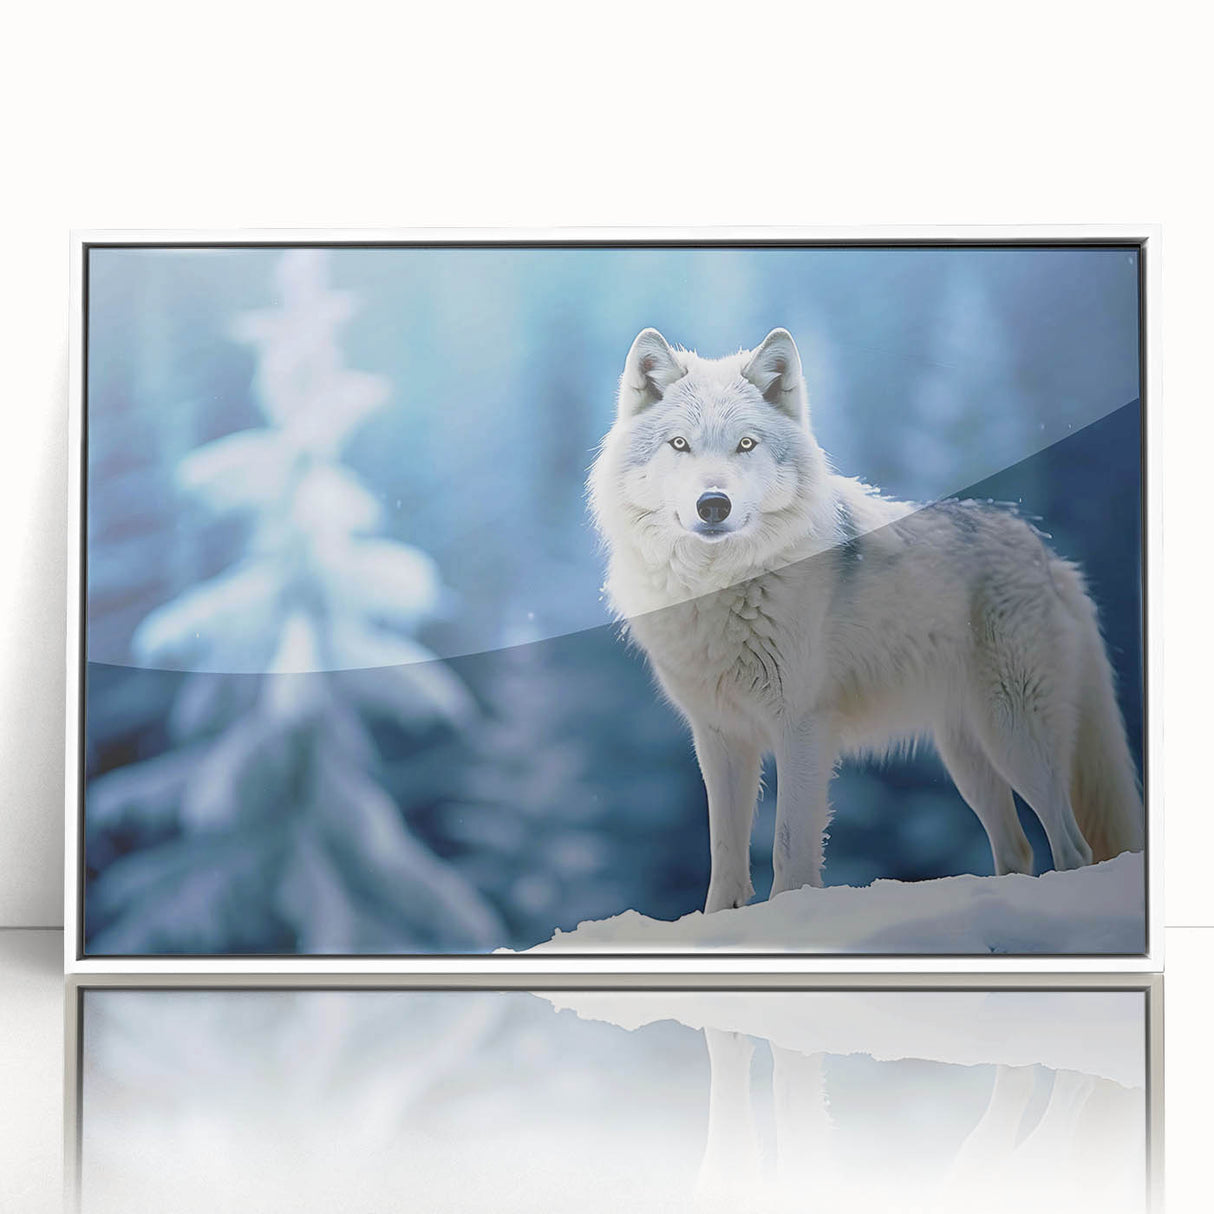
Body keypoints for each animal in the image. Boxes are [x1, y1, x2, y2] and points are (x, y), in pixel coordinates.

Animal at [589, 327, 1143, 913]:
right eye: (679, 445)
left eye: (746, 445)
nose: (713, 504)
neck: (721, 587)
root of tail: (1050, 557)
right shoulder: (720, 737)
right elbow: (724, 856)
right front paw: (722, 921)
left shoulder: (802, 727)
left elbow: (790, 847)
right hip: (968, 758)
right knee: (1018, 849)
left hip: (1016, 738)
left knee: (1073, 847)